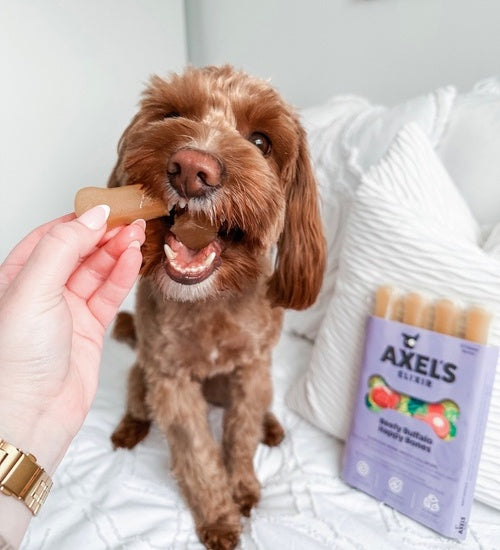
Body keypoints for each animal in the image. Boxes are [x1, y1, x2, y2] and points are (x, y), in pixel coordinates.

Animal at [110, 66, 324, 550]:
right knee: (136, 399)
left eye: (261, 141)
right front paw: (219, 518)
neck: (208, 303)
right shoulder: (170, 380)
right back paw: (130, 428)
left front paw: (242, 488)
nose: (192, 169)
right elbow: (197, 453)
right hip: (141, 378)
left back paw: (270, 425)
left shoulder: (252, 367)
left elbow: (240, 434)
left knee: (256, 411)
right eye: (170, 115)